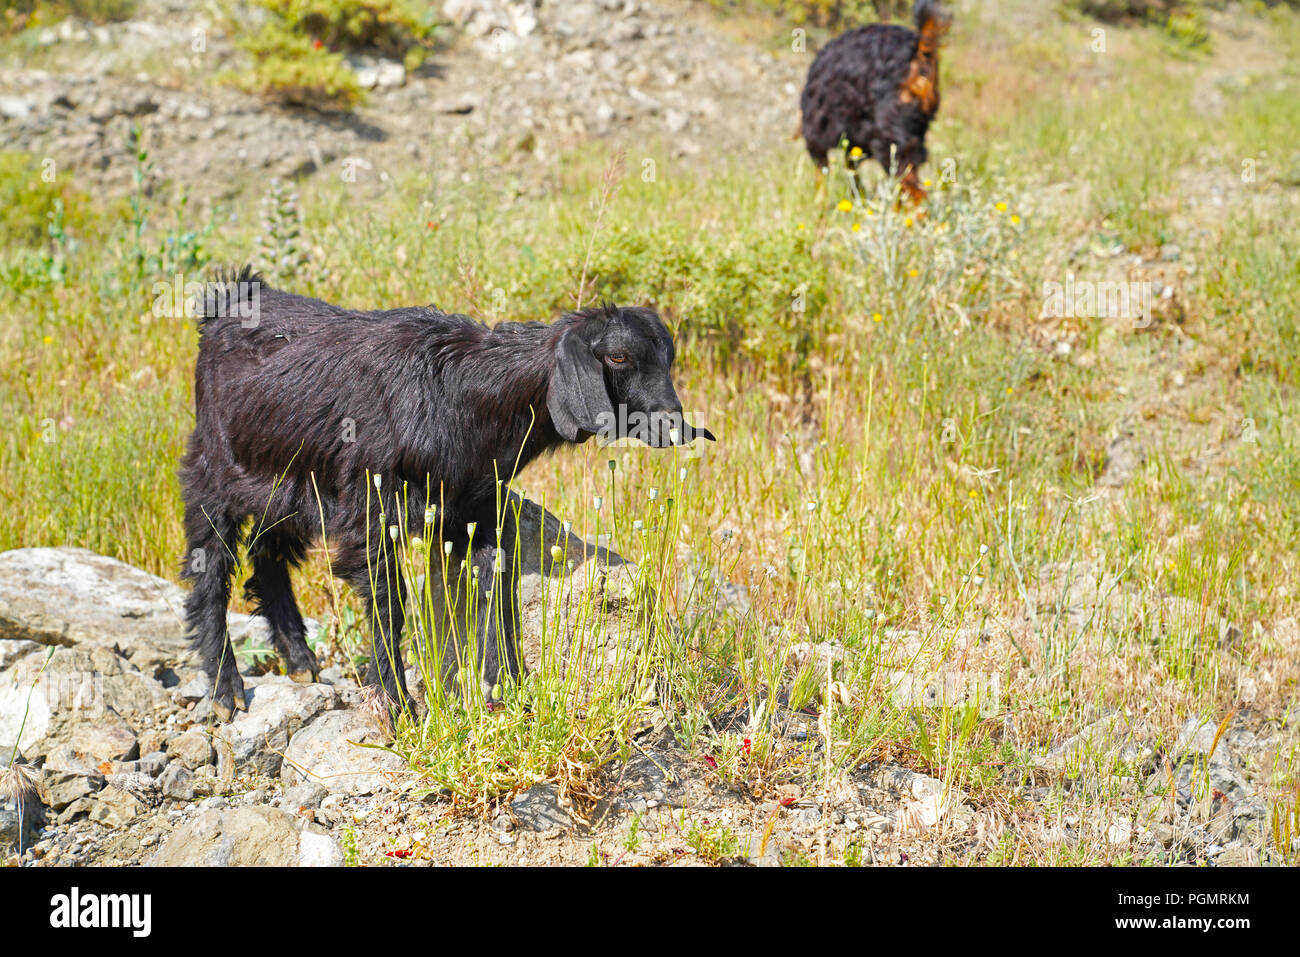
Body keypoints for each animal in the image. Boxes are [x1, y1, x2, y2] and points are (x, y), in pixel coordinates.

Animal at [179, 267, 717, 717]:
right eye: (618, 356)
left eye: (668, 358)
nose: (675, 426)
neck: (463, 391)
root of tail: (229, 302)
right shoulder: (368, 508)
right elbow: (389, 601)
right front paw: (395, 701)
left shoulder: (474, 507)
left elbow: (495, 577)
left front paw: (503, 682)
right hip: (214, 469)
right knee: (211, 566)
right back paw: (226, 689)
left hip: (287, 486)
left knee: (266, 553)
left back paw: (299, 661)